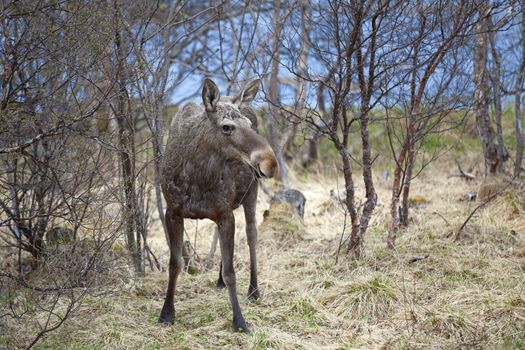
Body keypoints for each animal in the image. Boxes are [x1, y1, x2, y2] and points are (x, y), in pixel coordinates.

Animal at [158, 78, 276, 332]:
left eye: (248, 125)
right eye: (226, 126)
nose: (270, 162)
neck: (197, 176)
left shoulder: (224, 214)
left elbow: (232, 271)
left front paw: (239, 321)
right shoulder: (173, 211)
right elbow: (175, 264)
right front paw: (166, 313)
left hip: (251, 193)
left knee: (251, 236)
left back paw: (254, 290)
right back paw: (220, 280)